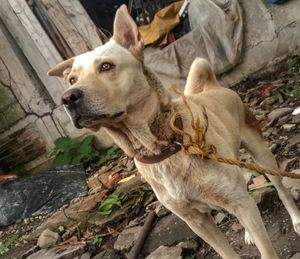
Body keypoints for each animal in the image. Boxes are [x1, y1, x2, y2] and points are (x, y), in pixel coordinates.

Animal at [49, 4, 300, 259]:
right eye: (72, 79)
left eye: (106, 66)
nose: (67, 98)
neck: (167, 146)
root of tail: (213, 86)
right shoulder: (197, 221)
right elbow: (226, 252)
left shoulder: (239, 203)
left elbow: (266, 248)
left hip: (261, 154)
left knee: (279, 187)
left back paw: (295, 218)